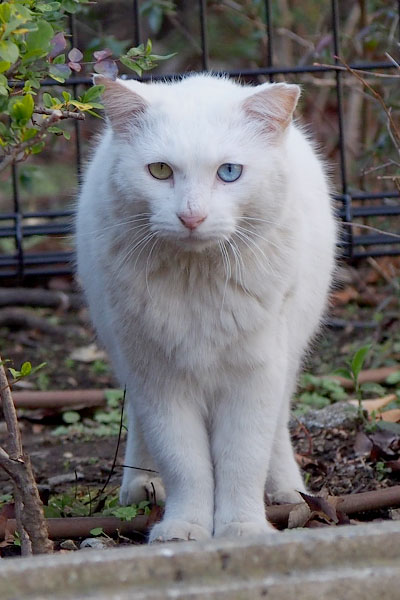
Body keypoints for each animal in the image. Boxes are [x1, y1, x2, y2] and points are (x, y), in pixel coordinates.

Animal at [76, 72, 338, 540]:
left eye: (229, 173)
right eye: (160, 171)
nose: (191, 217)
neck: (196, 279)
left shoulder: (255, 375)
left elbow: (242, 459)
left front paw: (241, 528)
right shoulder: (158, 379)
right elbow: (185, 463)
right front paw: (185, 527)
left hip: (288, 355)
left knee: (275, 430)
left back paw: (287, 490)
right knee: (140, 427)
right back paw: (141, 487)